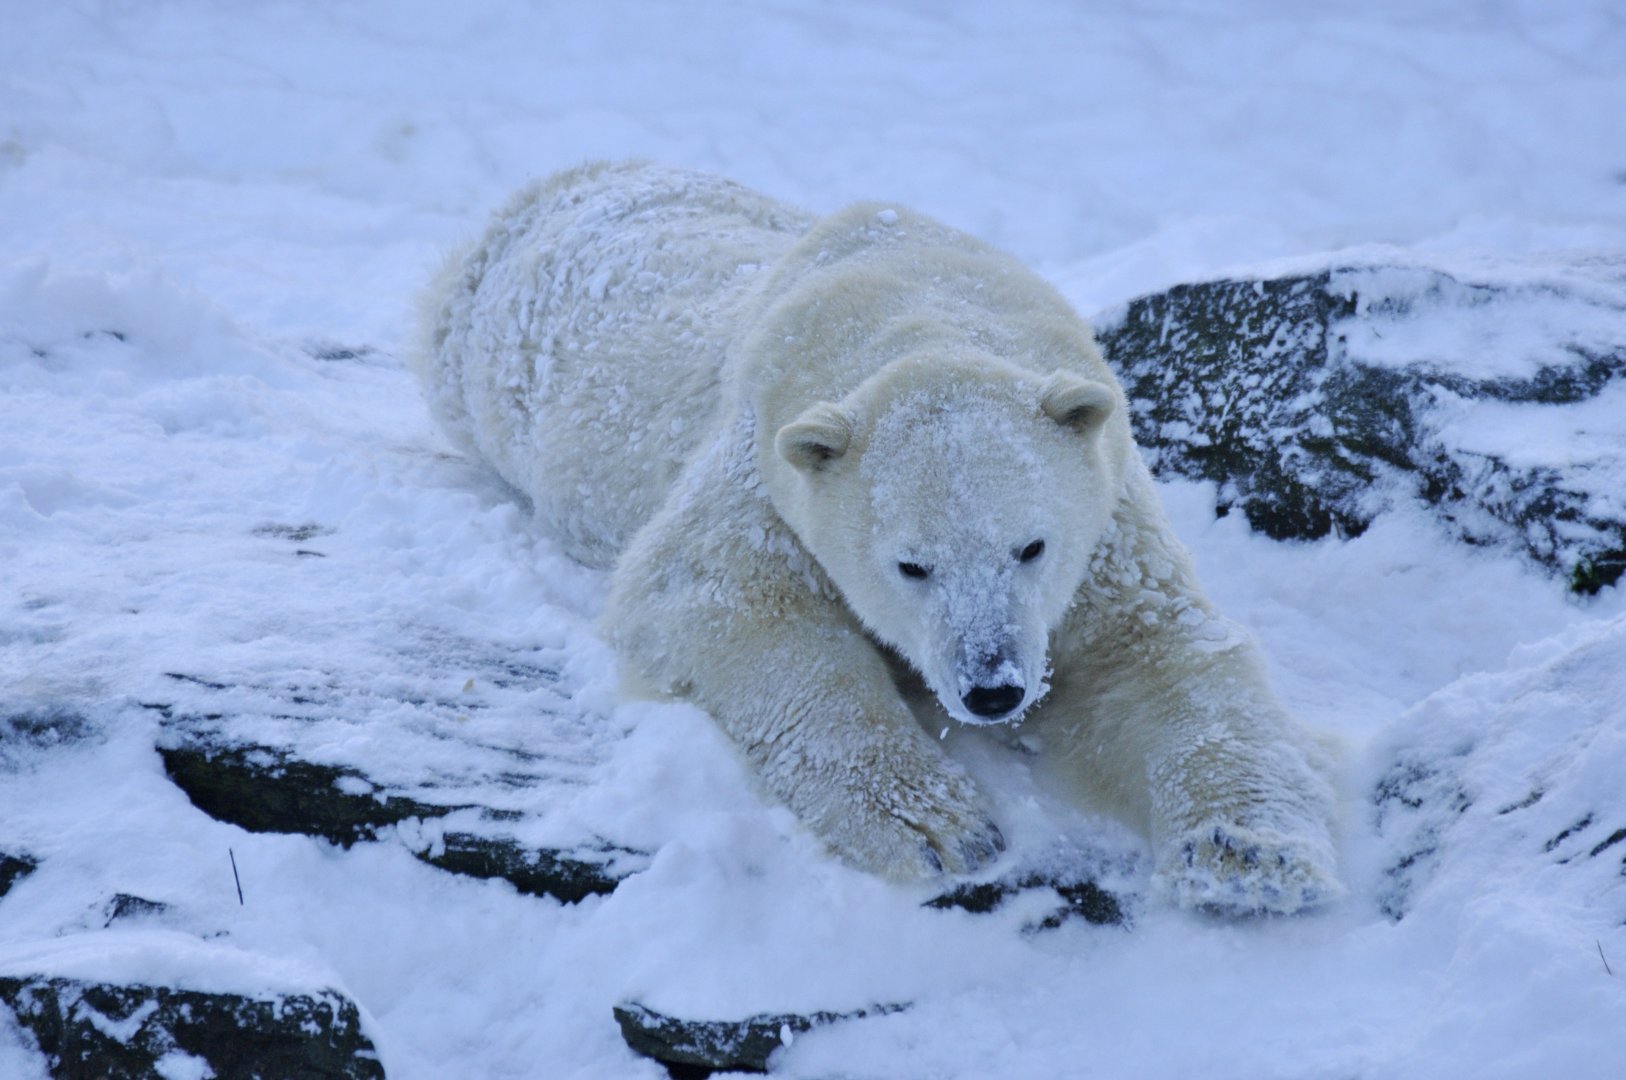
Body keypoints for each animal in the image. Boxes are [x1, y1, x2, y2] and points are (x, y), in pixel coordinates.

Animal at [413, 161, 1341, 915]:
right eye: (912, 565)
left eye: (1031, 547)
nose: (994, 688)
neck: (918, 302)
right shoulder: (770, 468)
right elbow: (721, 598)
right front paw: (939, 826)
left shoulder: (1106, 519)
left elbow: (1156, 654)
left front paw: (1253, 859)